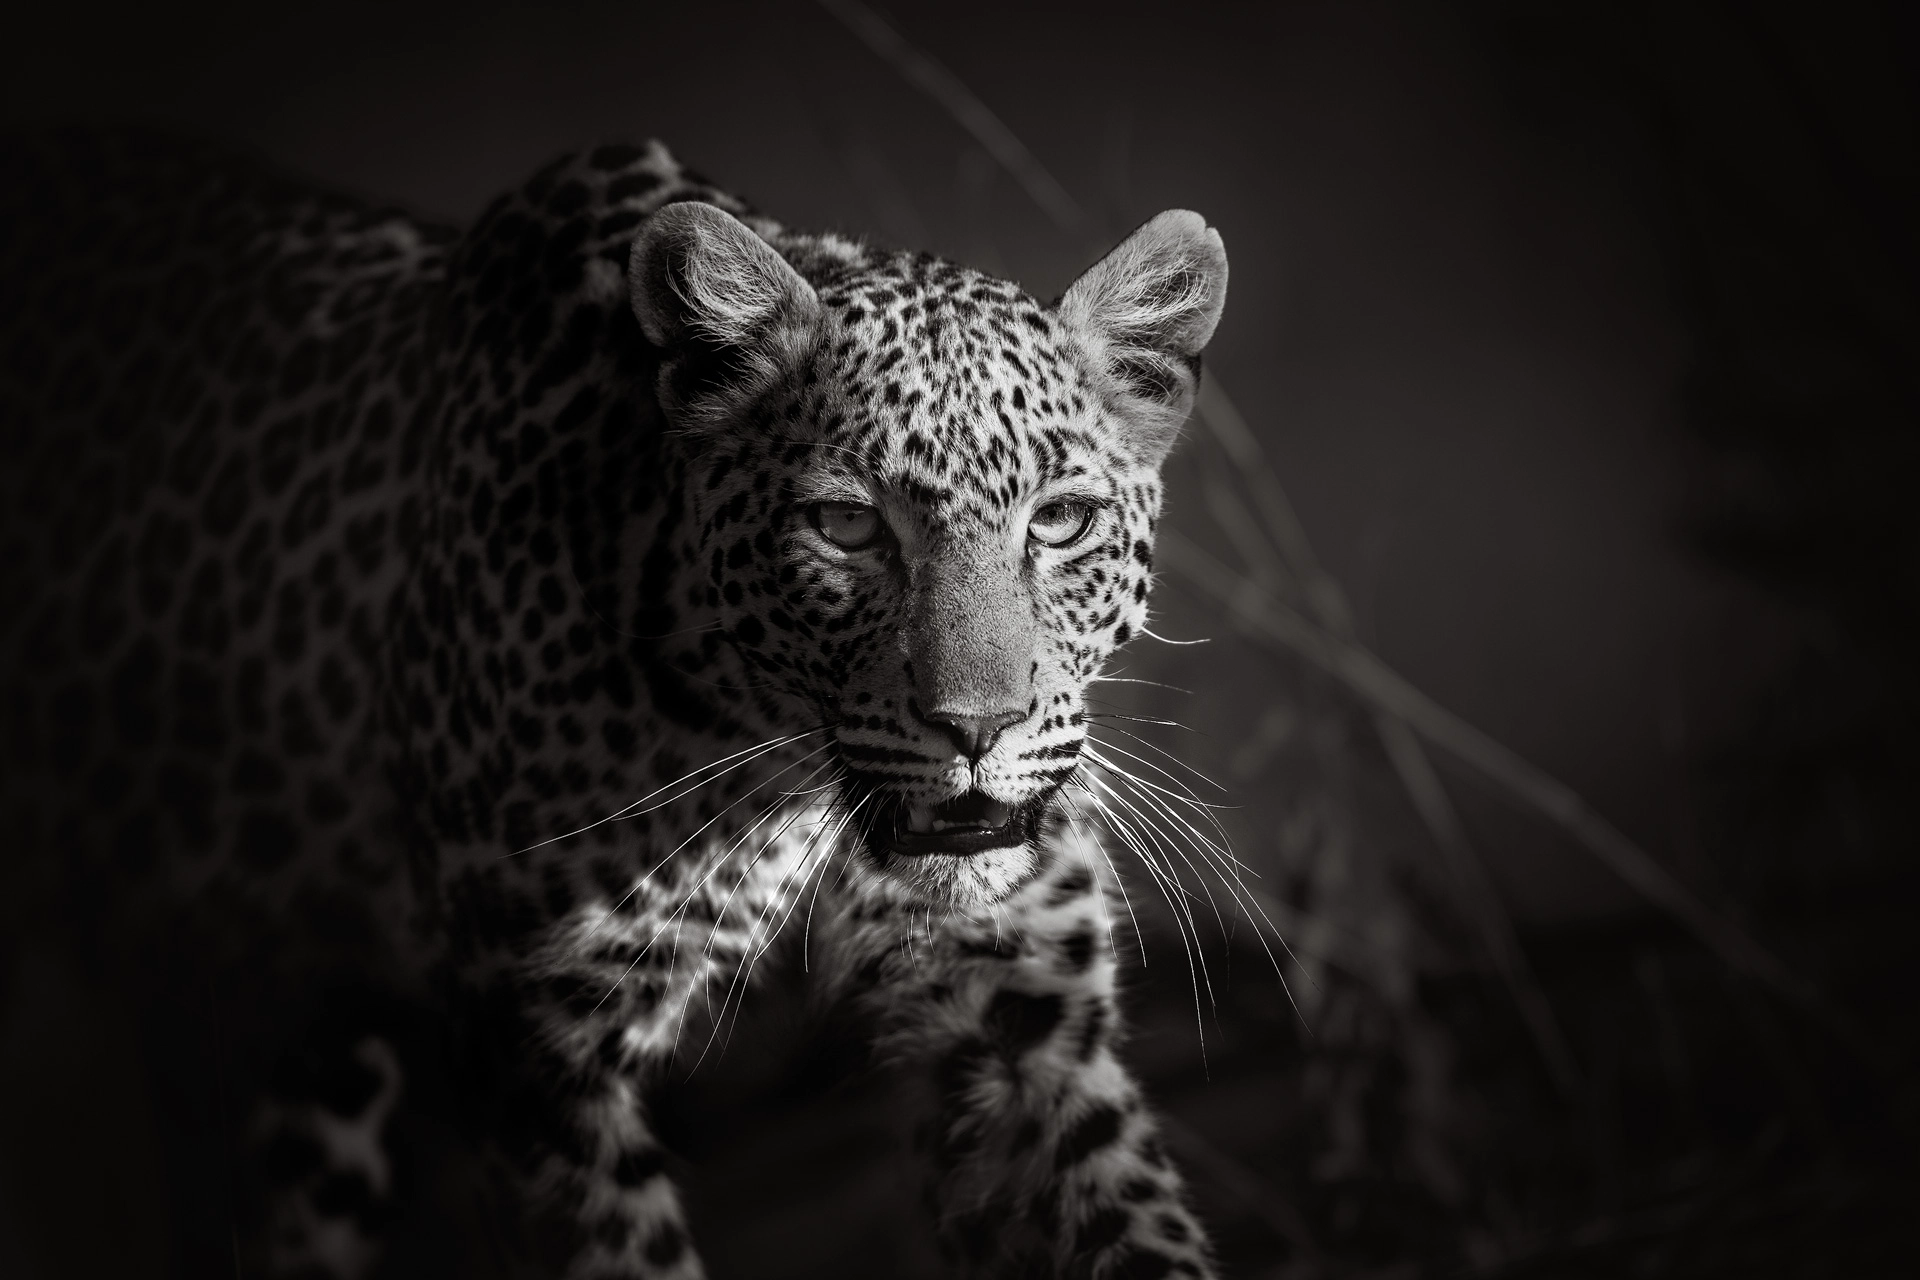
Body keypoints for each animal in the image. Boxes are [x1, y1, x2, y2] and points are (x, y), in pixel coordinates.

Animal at [0, 128, 1230, 1279]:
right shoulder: (540, 1065)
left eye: (1061, 520)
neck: (777, 766)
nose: (976, 729)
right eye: (845, 527)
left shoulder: (1025, 1030)